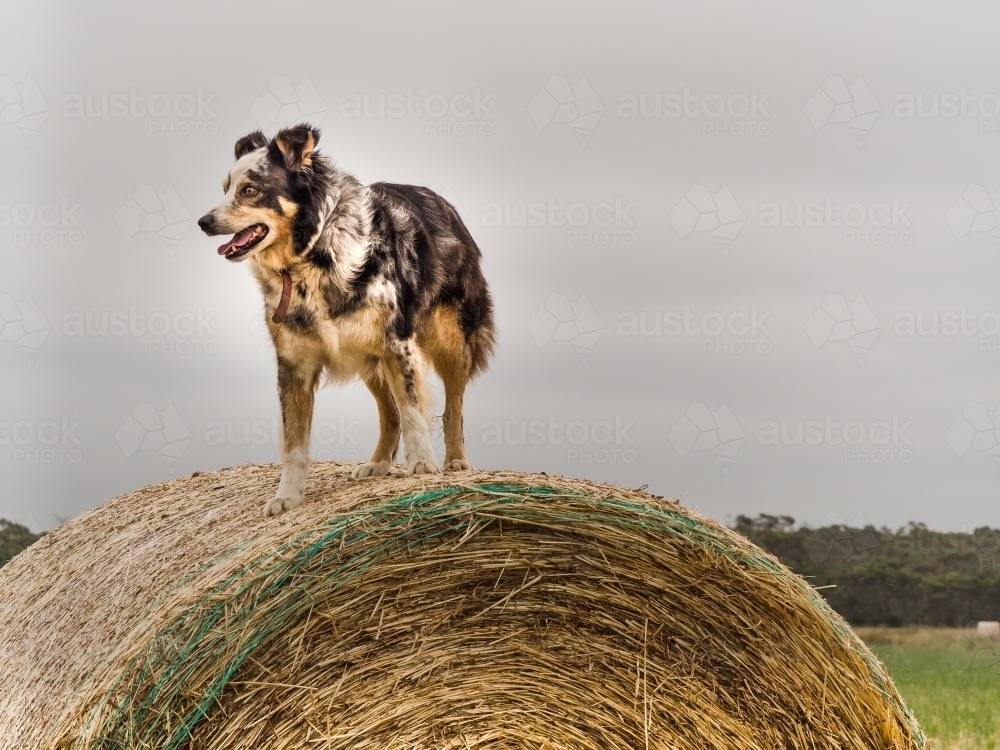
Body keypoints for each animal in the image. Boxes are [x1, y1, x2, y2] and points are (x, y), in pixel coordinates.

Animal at [197, 126, 494, 520]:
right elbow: (294, 442)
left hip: (449, 338)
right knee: (388, 413)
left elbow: (413, 411)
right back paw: (379, 464)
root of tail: (443, 202)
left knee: (452, 407)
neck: (311, 258)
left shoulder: (398, 343)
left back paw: (457, 461)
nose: (203, 222)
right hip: (367, 357)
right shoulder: (294, 365)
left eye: (250, 190)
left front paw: (422, 465)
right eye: (226, 188)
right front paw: (287, 496)